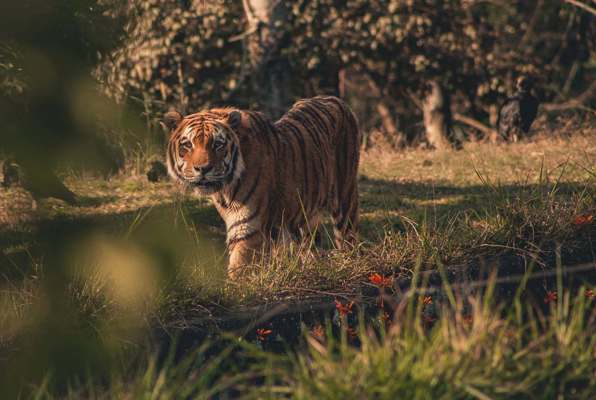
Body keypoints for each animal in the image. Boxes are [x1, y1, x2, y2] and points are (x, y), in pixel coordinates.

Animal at [163, 96, 360, 278]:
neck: (225, 190)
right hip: (305, 216)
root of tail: (334, 98)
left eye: (217, 144)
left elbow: (239, 269)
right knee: (310, 245)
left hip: (345, 199)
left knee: (347, 237)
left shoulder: (249, 228)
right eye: (187, 145)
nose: (203, 169)